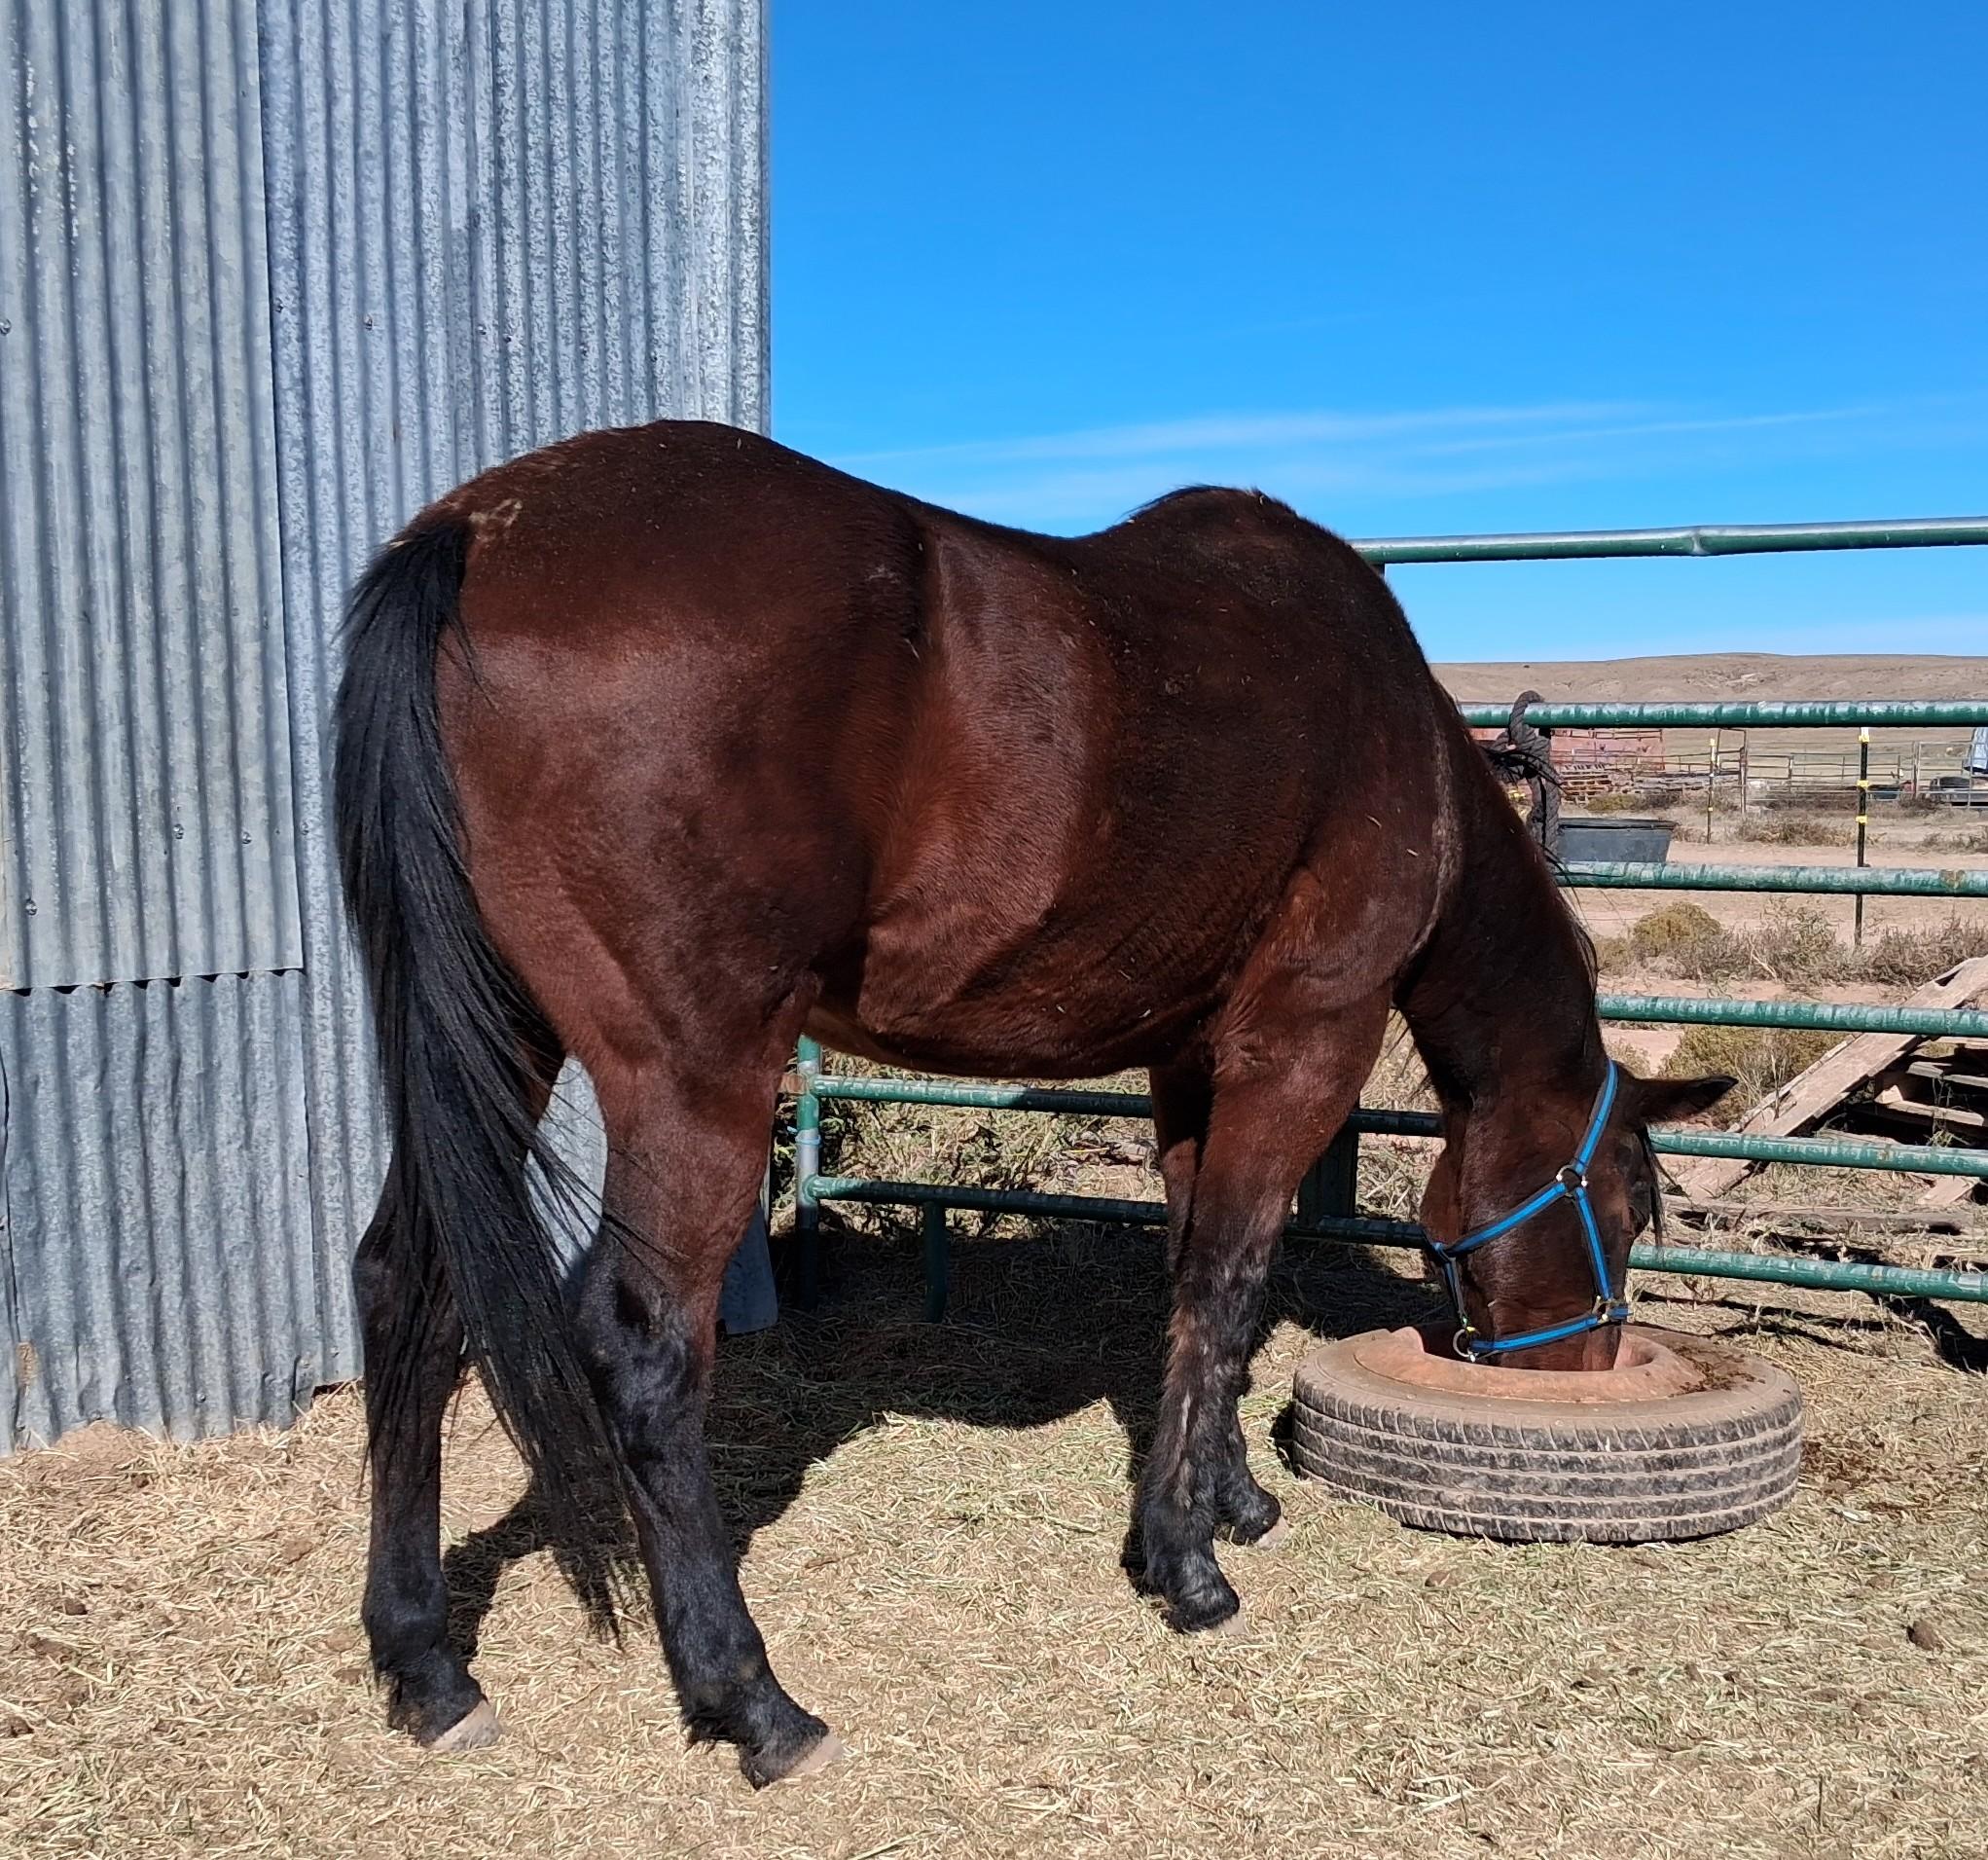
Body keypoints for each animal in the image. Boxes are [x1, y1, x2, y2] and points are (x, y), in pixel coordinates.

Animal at [334, 419, 1730, 1784]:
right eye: (1625, 1205)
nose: (1582, 1371)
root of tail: (478, 531)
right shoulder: (1304, 1044)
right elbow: (1230, 1277)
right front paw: (1185, 1567)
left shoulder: (1190, 1064)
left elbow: (1203, 1277)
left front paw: (1227, 1499)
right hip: (692, 1073)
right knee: (642, 1347)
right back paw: (754, 1701)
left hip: (501, 1039)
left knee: (408, 1289)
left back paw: (426, 1667)